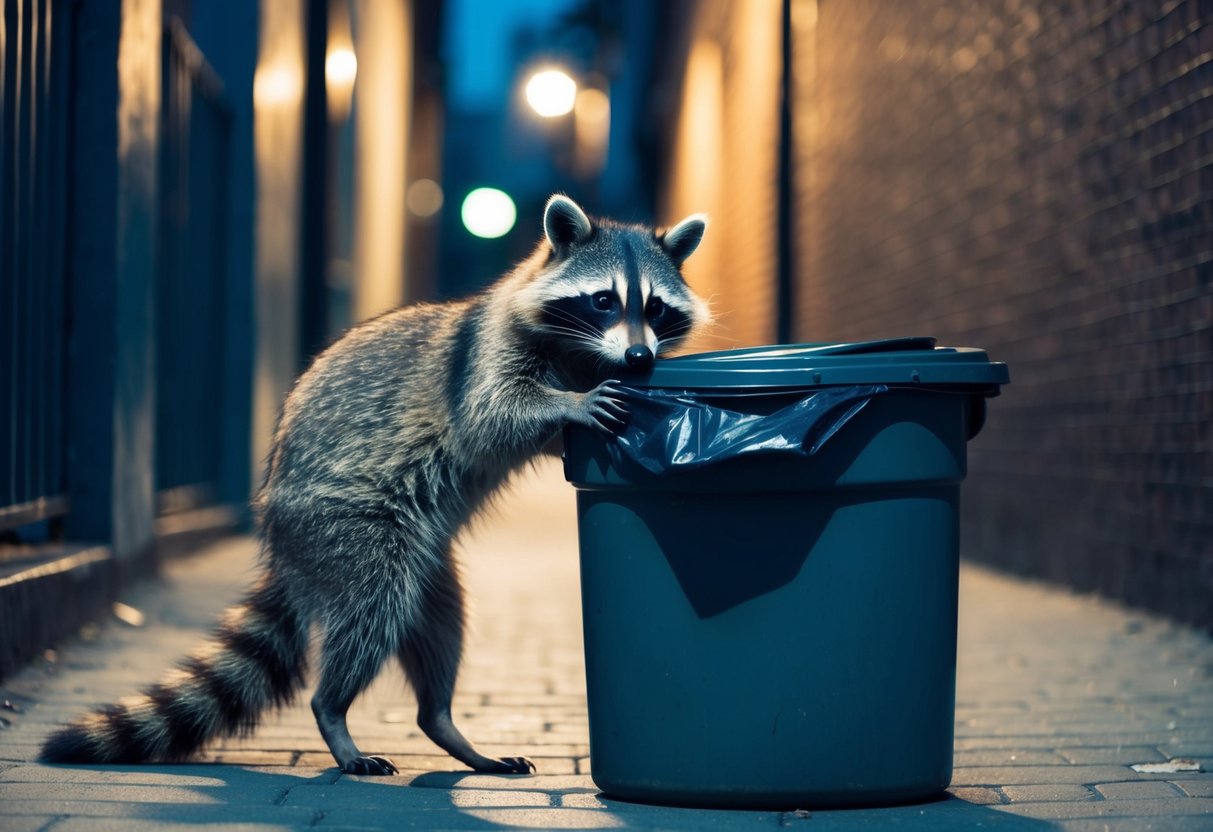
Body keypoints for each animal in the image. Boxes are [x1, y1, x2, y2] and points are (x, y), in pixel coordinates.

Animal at [41, 195, 709, 775]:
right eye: (603, 300)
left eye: (655, 307)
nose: (642, 360)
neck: (581, 352)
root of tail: (279, 542)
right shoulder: (486, 355)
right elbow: (494, 412)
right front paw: (572, 403)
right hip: (347, 529)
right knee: (372, 609)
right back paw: (334, 712)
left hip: (429, 565)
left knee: (439, 625)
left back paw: (445, 723)